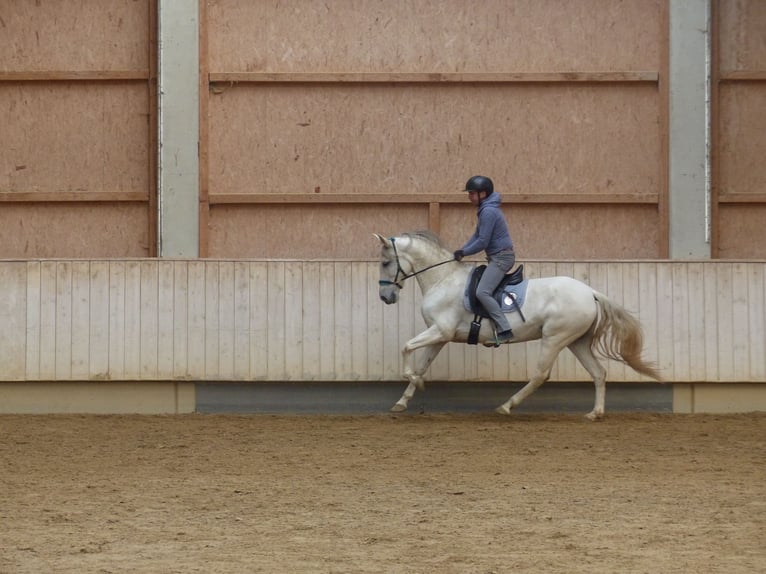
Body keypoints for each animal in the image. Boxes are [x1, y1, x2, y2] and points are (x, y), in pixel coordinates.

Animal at [374, 231, 662, 420]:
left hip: (554, 339)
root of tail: (590, 292)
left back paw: (506, 406)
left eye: (386, 262)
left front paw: (415, 384)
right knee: (598, 373)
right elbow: (421, 365)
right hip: (576, 342)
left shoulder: (440, 331)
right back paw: (595, 413)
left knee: (540, 375)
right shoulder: (441, 336)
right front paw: (402, 402)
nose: (385, 297)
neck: (442, 279)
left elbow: (406, 348)